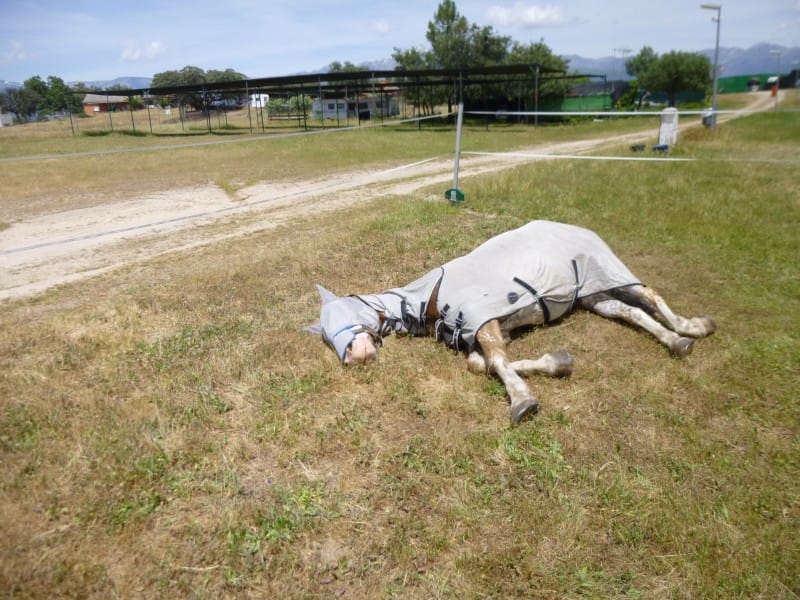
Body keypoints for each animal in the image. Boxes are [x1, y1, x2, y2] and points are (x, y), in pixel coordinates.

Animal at [308, 219, 720, 422]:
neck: (433, 295)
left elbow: (495, 362)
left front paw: (523, 402)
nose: (354, 356)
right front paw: (560, 362)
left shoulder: (483, 321)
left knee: (649, 295)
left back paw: (693, 328)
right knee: (629, 311)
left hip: (610, 270)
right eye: (325, 336)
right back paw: (677, 341)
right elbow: (482, 364)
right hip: (591, 293)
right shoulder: (490, 328)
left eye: (343, 311)